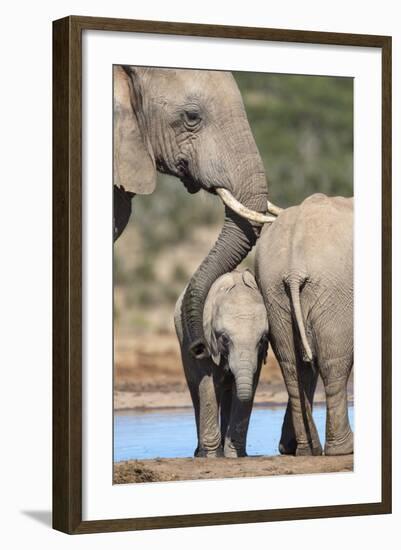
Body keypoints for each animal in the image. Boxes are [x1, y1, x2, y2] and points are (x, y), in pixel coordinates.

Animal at [173, 270, 268, 458]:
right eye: (224, 339)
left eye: (261, 340)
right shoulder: (206, 340)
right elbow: (208, 385)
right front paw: (212, 455)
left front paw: (234, 454)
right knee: (196, 391)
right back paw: (199, 453)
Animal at [255, 194, 352, 458]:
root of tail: (294, 267)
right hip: (334, 292)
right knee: (334, 364)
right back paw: (343, 449)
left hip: (273, 291)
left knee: (292, 366)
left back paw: (307, 449)